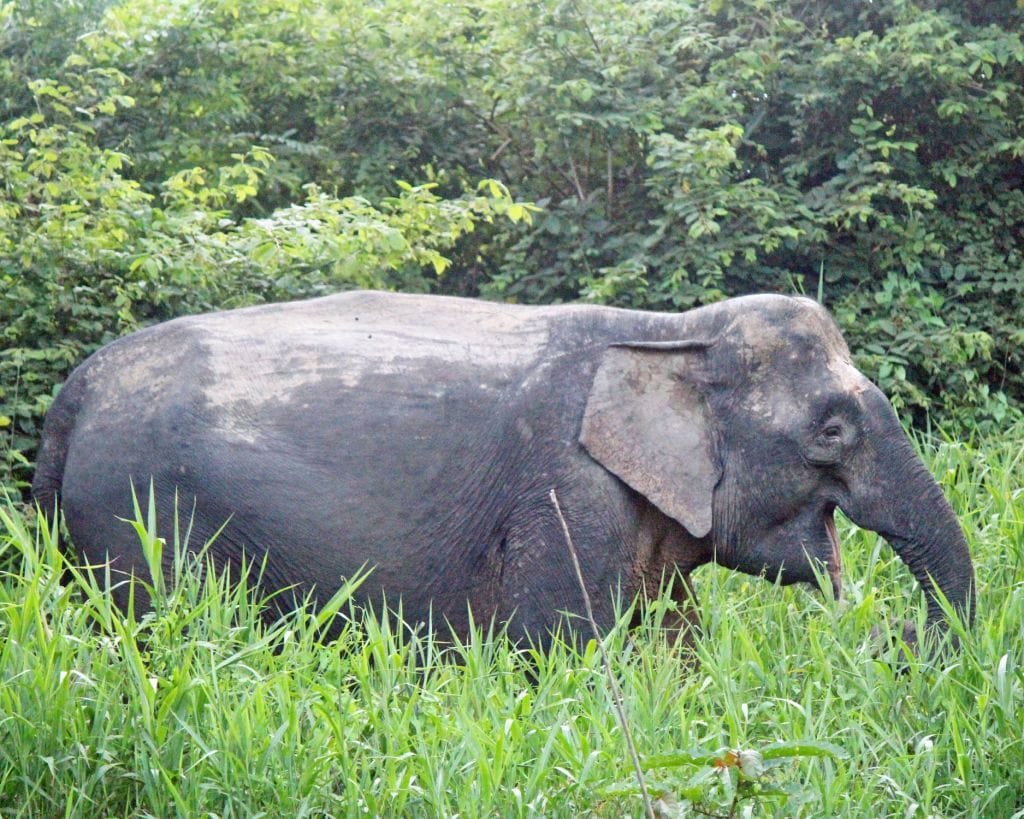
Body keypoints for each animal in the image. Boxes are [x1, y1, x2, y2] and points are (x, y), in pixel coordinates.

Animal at [32, 290, 974, 642]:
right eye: (833, 429)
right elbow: (562, 651)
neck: (670, 330)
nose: (897, 634)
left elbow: (673, 647)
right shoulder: (567, 492)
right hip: (135, 522)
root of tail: (73, 394)